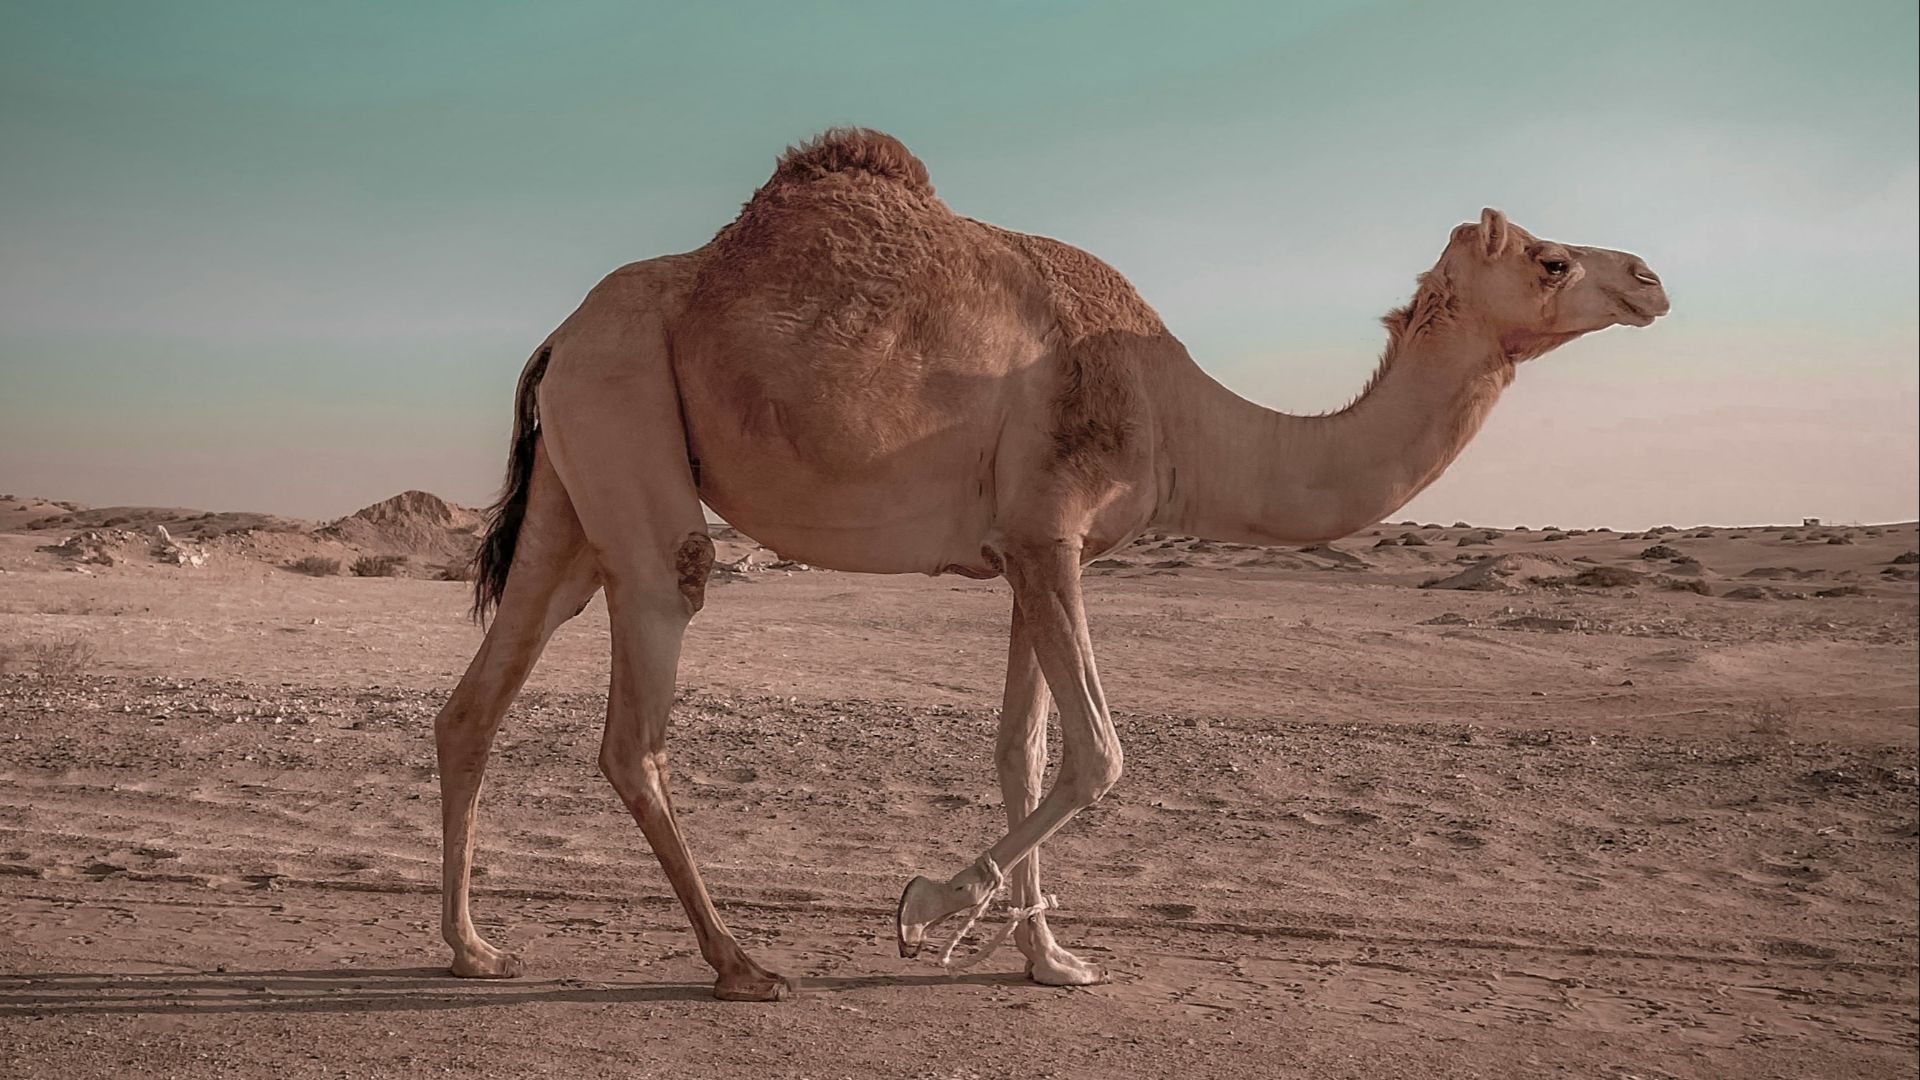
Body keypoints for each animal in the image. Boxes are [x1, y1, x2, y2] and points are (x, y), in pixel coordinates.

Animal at [434, 128, 1669, 1001]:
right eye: (1553, 260)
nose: (1652, 277)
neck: (1181, 418)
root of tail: (559, 334)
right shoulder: (1052, 531)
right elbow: (1100, 755)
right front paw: (926, 909)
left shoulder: (1029, 550)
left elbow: (1023, 753)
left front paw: (1048, 960)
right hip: (629, 420)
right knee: (639, 708)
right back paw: (740, 964)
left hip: (574, 486)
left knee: (479, 701)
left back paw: (472, 946)